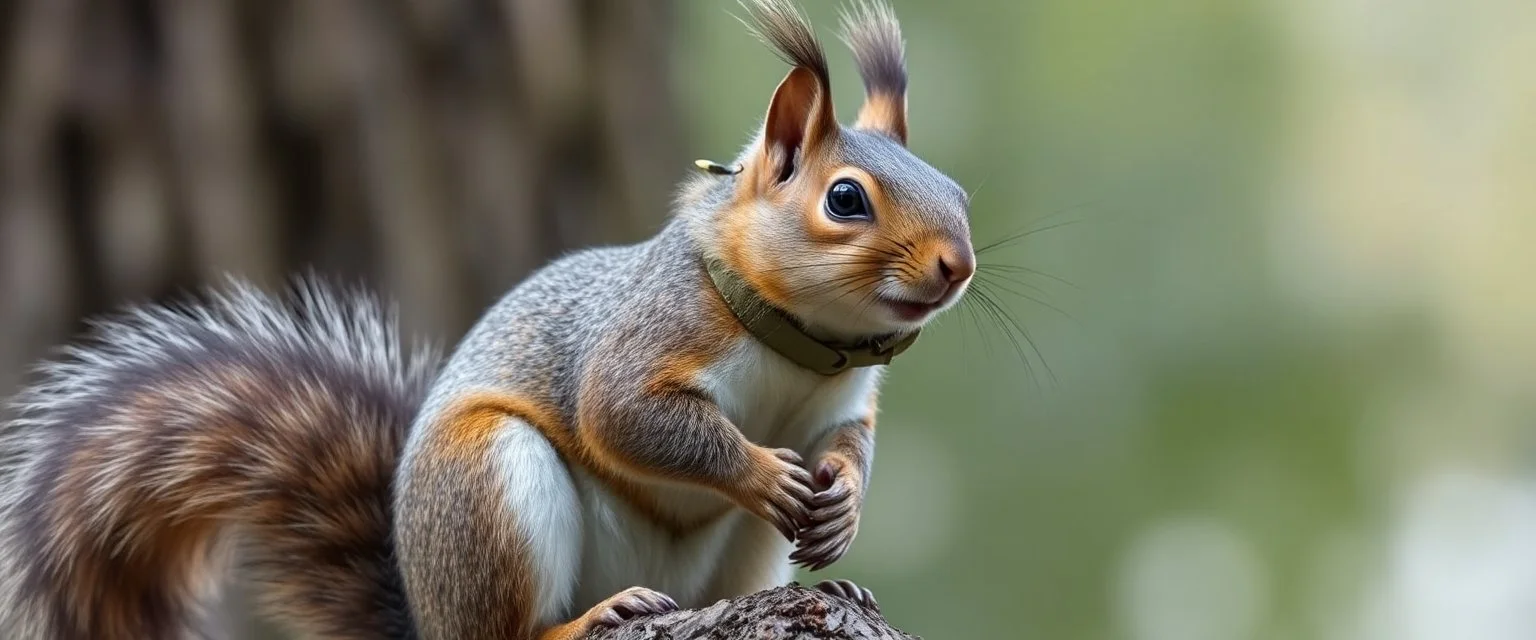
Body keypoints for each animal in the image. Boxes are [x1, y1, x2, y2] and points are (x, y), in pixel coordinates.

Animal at [0, 1, 975, 638]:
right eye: (845, 199)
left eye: (958, 193)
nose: (956, 266)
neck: (800, 344)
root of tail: (428, 615)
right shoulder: (644, 338)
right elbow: (626, 414)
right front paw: (759, 471)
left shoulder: (843, 402)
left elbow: (849, 446)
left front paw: (842, 505)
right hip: (489, 483)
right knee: (509, 633)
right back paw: (593, 617)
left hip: (736, 557)